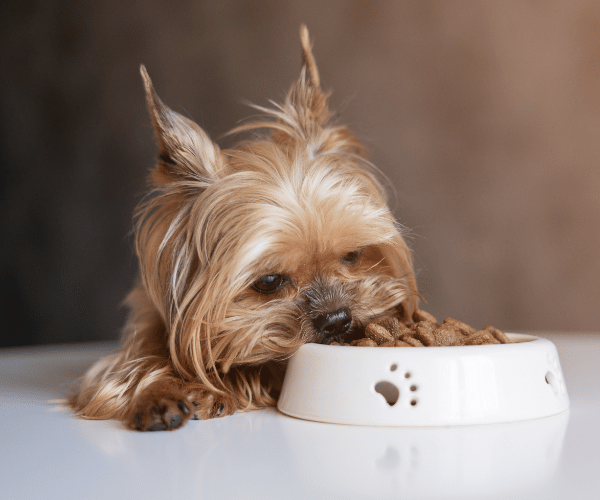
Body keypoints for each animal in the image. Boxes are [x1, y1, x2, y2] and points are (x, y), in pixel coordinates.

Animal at [69, 25, 418, 430]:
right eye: (268, 282)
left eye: (353, 255)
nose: (337, 319)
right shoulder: (136, 338)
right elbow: (124, 372)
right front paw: (158, 394)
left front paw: (212, 388)